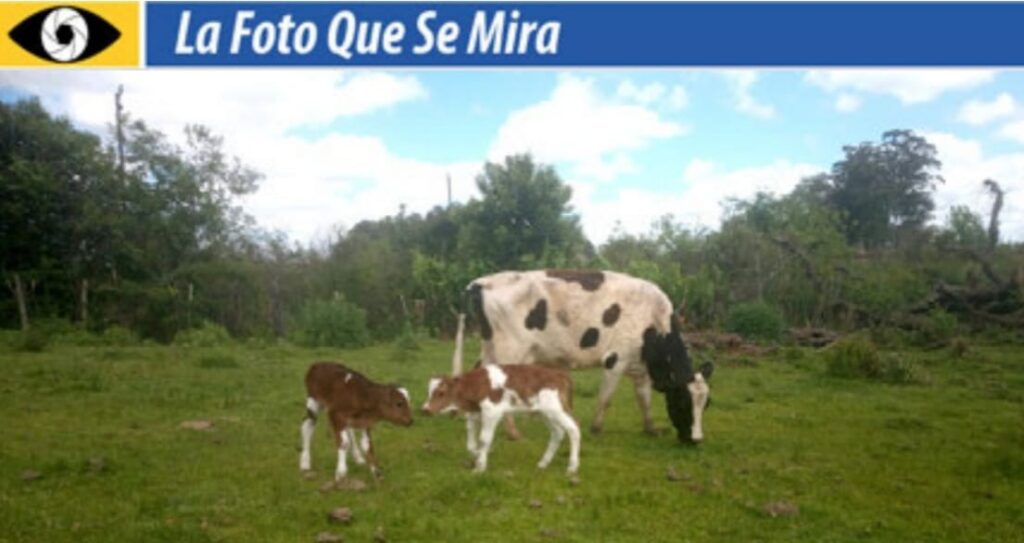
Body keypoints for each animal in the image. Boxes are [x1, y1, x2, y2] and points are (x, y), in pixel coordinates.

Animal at [422, 363, 581, 475]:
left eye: (441, 392)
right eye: (429, 391)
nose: (425, 410)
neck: (476, 385)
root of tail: (559, 374)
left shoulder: (491, 412)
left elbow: (484, 439)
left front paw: (480, 467)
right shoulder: (475, 415)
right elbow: (471, 444)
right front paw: (477, 454)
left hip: (556, 409)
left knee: (573, 429)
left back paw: (572, 467)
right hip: (544, 413)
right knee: (557, 432)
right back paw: (543, 463)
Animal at [450, 269, 713, 443]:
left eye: (707, 404)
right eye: (683, 402)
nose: (696, 439)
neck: (654, 324)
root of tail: (483, 282)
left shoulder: (641, 368)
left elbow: (644, 400)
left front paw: (651, 429)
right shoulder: (615, 360)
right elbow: (605, 398)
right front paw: (596, 429)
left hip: (490, 346)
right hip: (511, 349)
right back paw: (512, 432)